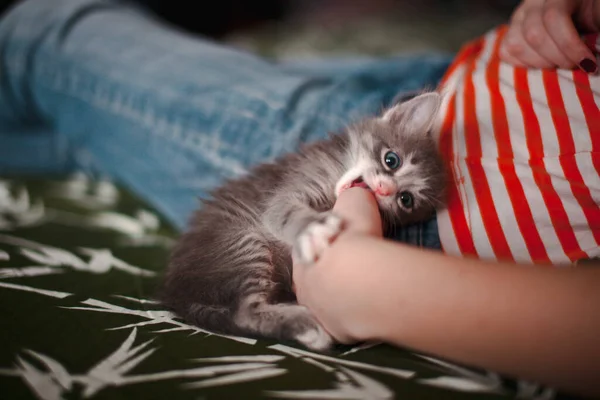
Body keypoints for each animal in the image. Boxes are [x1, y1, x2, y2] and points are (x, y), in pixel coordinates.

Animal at [159, 90, 446, 350]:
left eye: (406, 199)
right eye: (392, 160)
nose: (385, 190)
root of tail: (177, 295)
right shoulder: (288, 190)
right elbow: (284, 212)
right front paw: (313, 229)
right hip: (241, 242)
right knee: (243, 313)